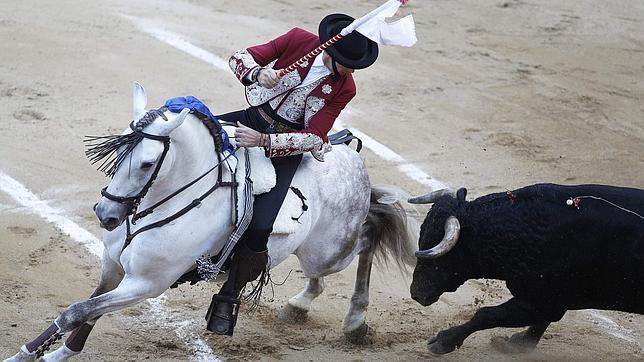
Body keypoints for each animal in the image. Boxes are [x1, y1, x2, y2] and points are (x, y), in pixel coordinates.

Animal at [6, 83, 418, 360]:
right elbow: (86, 312)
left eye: (146, 163)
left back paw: (353, 319)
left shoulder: (145, 285)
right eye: (119, 147)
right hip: (318, 254)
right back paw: (299, 305)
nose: (106, 215)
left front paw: (29, 355)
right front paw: (47, 353)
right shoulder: (113, 268)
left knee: (366, 239)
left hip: (329, 251)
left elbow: (75, 312)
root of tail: (350, 156)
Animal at [410, 184, 640, 354]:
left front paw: (442, 341)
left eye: (441, 257)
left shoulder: (544, 300)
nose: (415, 293)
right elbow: (538, 321)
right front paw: (519, 343)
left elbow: (487, 315)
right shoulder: (548, 301)